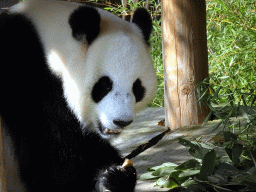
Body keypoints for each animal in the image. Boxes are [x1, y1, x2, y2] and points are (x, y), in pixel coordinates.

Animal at [0, 0, 156, 191]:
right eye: (104, 85)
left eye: (137, 87)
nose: (121, 121)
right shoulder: (26, 77)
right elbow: (51, 155)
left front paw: (116, 175)